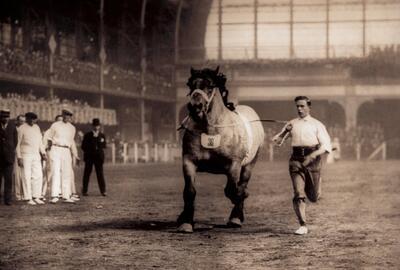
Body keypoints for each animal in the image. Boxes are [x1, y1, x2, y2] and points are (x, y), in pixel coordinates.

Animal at [178, 67, 266, 232]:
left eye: (210, 85)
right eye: (190, 85)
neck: (211, 131)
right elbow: (189, 191)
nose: (195, 107)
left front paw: (238, 211)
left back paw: (236, 216)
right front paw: (185, 221)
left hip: (249, 164)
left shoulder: (234, 165)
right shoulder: (189, 161)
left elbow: (232, 190)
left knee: (242, 182)